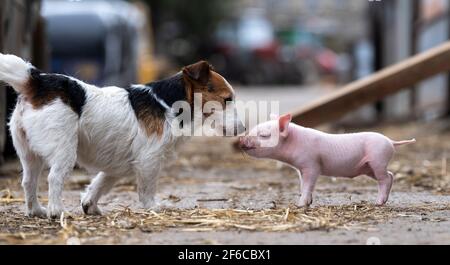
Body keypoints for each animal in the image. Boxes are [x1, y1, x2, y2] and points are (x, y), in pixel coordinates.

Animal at [0, 53, 246, 217]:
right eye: (227, 99)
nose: (243, 129)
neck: (168, 103)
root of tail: (37, 81)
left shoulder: (116, 167)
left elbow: (98, 185)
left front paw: (90, 205)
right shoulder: (149, 160)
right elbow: (146, 189)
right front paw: (153, 207)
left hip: (29, 154)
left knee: (29, 181)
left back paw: (36, 210)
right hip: (64, 151)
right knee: (54, 178)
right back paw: (57, 211)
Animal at [239, 113, 414, 206]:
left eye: (264, 135)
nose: (241, 140)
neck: (295, 142)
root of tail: (391, 141)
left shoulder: (312, 165)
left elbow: (308, 184)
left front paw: (300, 205)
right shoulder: (300, 169)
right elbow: (302, 184)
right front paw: (308, 202)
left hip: (378, 160)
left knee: (385, 178)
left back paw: (378, 202)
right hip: (369, 167)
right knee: (391, 175)